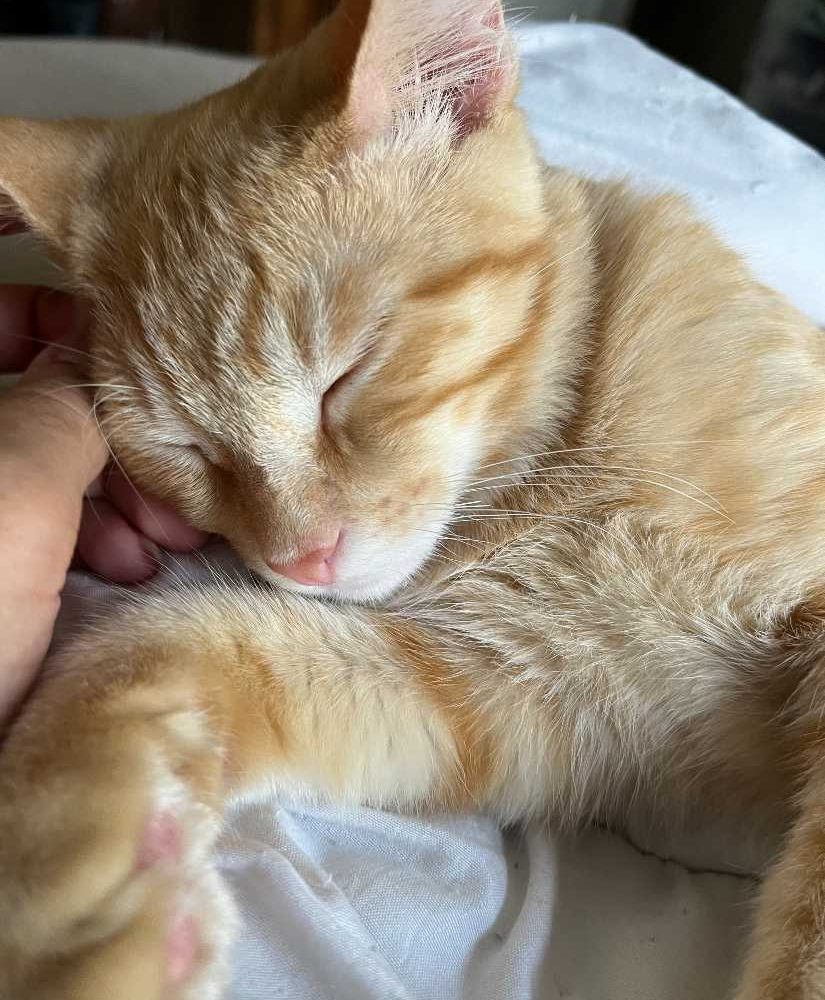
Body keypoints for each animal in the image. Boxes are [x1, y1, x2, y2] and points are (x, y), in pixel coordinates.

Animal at [0, 0, 824, 996]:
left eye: (345, 379)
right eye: (187, 449)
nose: (300, 557)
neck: (547, 472)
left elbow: (811, 930)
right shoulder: (493, 695)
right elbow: (148, 649)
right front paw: (89, 906)